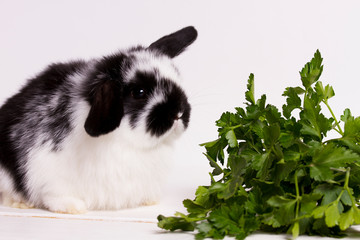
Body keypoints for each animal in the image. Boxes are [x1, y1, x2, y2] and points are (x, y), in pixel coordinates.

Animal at [0, 26, 197, 214]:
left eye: (177, 77)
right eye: (139, 92)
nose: (179, 112)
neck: (129, 143)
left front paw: (149, 200)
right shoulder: (47, 168)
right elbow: (55, 194)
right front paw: (73, 208)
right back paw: (21, 203)